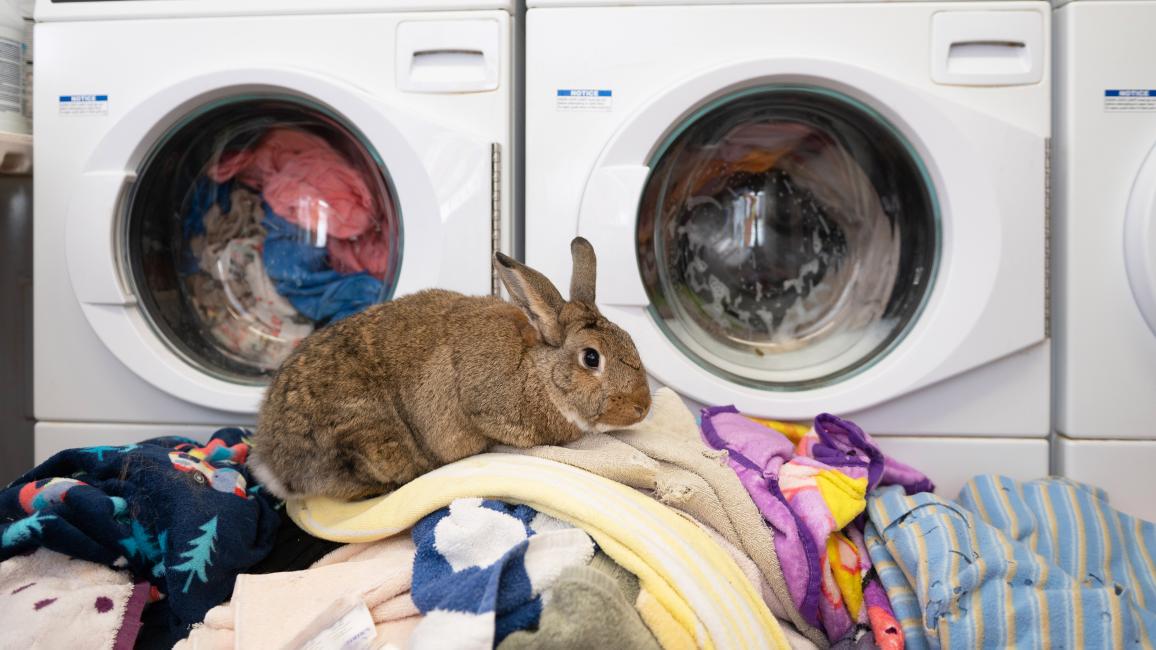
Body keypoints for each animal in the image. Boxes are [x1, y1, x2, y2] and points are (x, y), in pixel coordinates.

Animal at [248, 237, 652, 501]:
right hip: (367, 441)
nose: (643, 407)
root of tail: (271, 459)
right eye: (591, 358)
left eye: (630, 339)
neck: (538, 371)